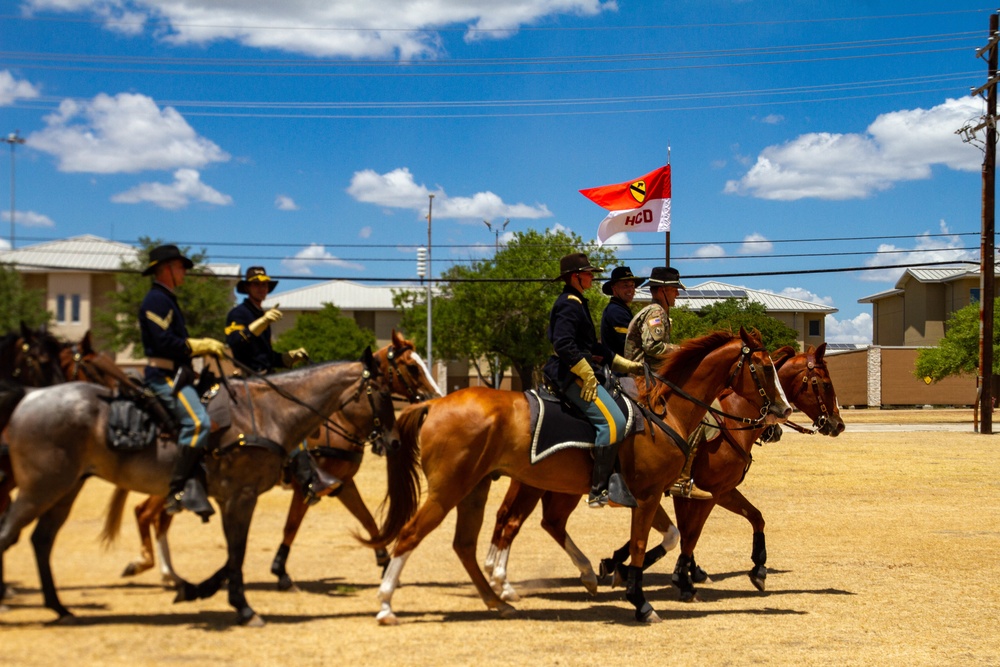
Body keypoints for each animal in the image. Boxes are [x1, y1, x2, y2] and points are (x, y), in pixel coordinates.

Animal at [0, 352, 408, 628]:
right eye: (383, 392)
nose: (393, 441)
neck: (272, 414)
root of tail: (29, 397)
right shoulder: (244, 495)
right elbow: (241, 549)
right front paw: (245, 604)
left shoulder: (306, 488)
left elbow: (239, 551)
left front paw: (202, 590)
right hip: (43, 488)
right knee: (14, 534)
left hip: (65, 490)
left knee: (42, 540)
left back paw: (63, 607)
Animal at [111, 332, 440, 592]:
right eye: (412, 366)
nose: (435, 396)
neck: (335, 418)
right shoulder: (308, 485)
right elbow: (292, 526)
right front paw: (281, 572)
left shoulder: (342, 484)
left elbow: (368, 520)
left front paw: (385, 563)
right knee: (145, 513)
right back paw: (148, 566)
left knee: (158, 517)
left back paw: (168, 574)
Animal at [366, 328, 788, 628]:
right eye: (764, 368)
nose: (782, 412)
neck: (666, 413)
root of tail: (435, 403)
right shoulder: (656, 495)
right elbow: (650, 543)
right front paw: (641, 599)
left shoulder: (656, 495)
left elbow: (671, 537)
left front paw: (621, 571)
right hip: (452, 489)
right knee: (414, 534)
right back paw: (387, 604)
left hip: (480, 489)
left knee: (475, 541)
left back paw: (501, 597)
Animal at [484, 342, 844, 604]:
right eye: (823, 383)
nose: (837, 425)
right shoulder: (704, 492)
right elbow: (687, 535)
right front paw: (678, 578)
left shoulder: (708, 491)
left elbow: (751, 518)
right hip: (544, 484)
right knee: (517, 521)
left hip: (555, 485)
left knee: (538, 521)